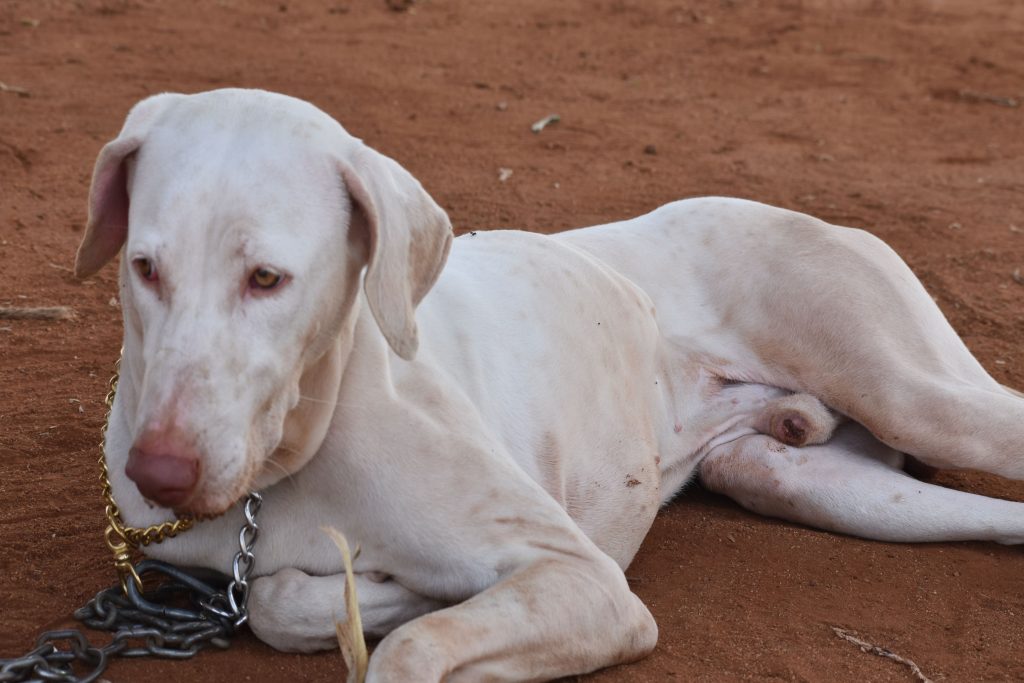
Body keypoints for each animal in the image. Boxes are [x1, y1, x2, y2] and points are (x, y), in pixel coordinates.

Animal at [75, 90, 1024, 683]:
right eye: (145, 267)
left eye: (267, 278)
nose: (160, 471)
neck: (281, 476)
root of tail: (793, 211)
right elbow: (275, 601)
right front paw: (377, 593)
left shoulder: (588, 582)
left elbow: (406, 645)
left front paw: (402, 602)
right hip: (799, 481)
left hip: (919, 398)